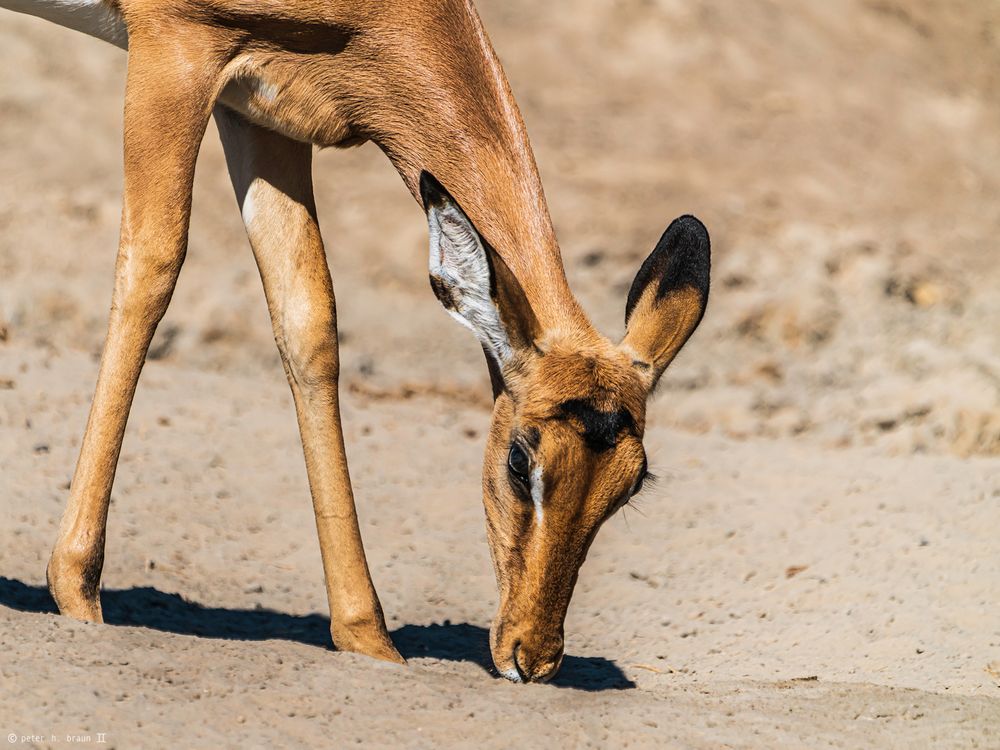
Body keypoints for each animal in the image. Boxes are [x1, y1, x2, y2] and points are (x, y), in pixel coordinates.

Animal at [1, 0, 712, 684]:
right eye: (518, 459)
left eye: (632, 485)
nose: (530, 657)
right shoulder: (174, 52)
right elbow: (152, 265)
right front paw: (77, 591)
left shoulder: (262, 113)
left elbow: (308, 319)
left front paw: (370, 642)